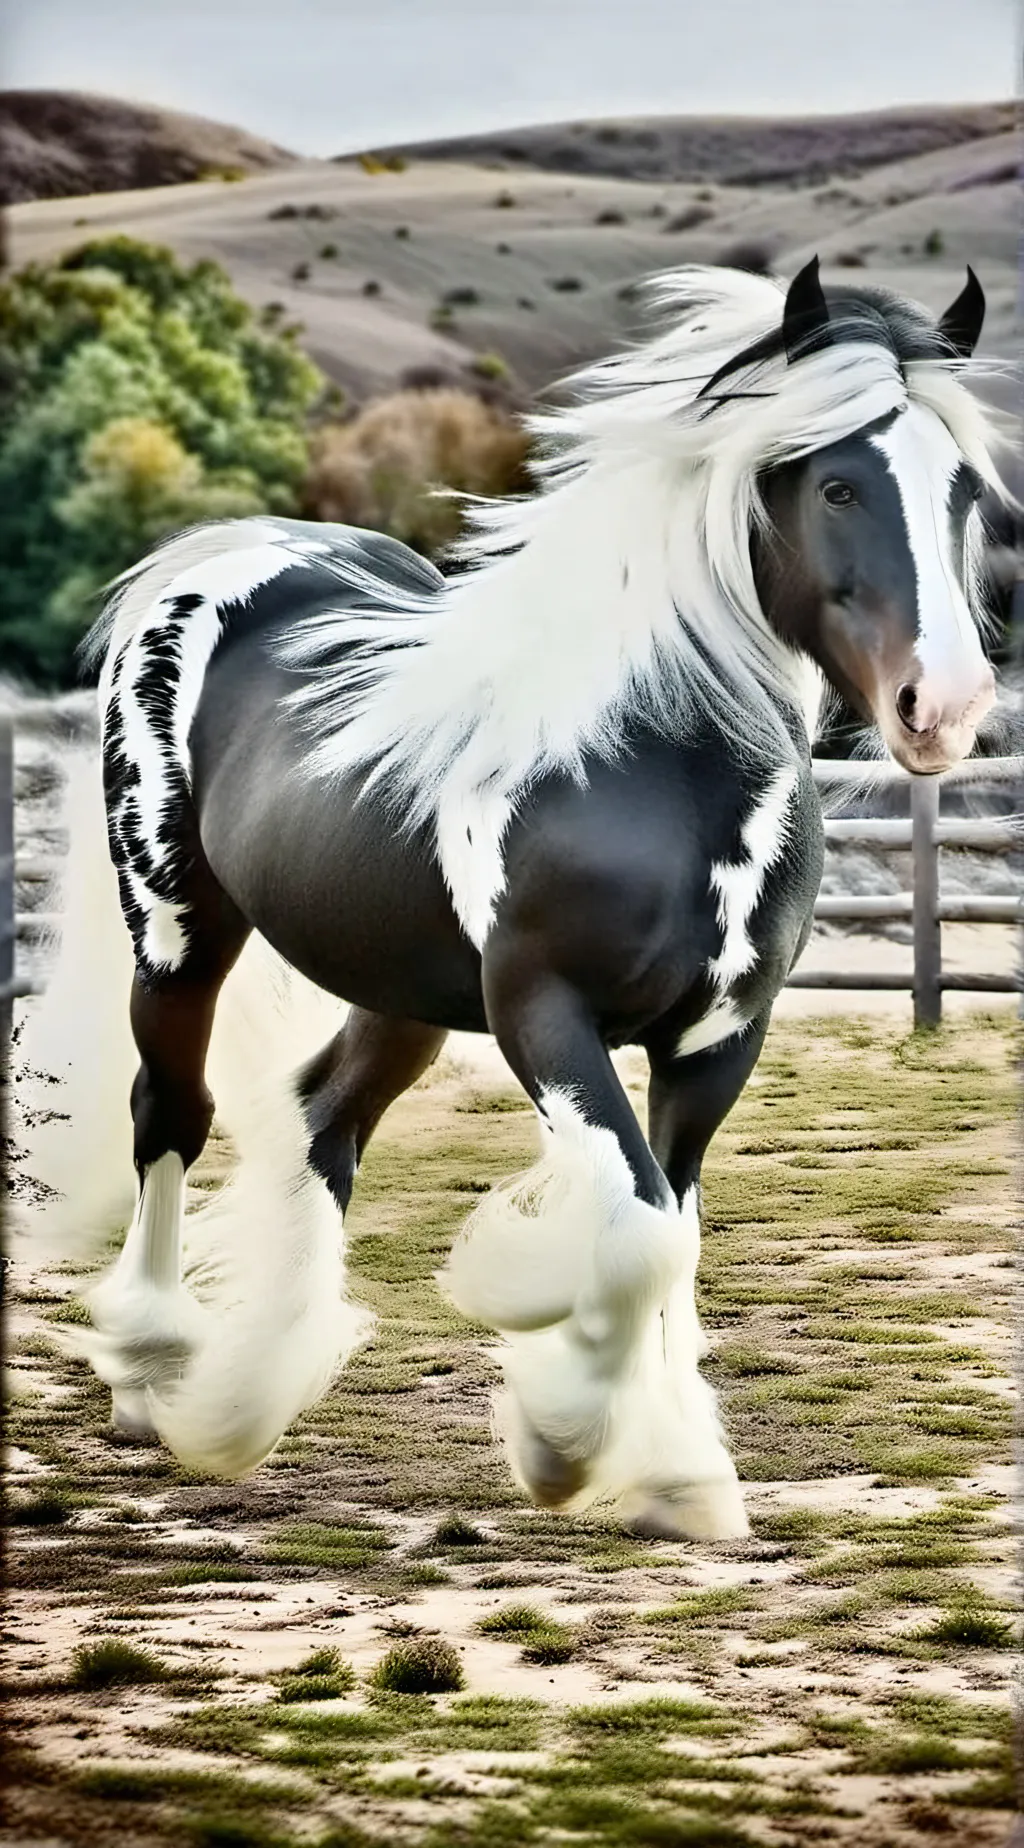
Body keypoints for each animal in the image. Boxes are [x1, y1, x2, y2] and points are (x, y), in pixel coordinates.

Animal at [17, 257, 1007, 1542]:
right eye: (837, 482)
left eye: (964, 490)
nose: (942, 706)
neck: (654, 765)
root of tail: (226, 562)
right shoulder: (544, 1011)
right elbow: (635, 1224)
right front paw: (570, 1442)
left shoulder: (719, 1039)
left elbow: (672, 1227)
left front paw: (675, 1474)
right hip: (179, 931)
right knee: (170, 1114)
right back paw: (155, 1382)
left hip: (398, 990)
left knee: (323, 1118)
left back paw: (255, 1380)